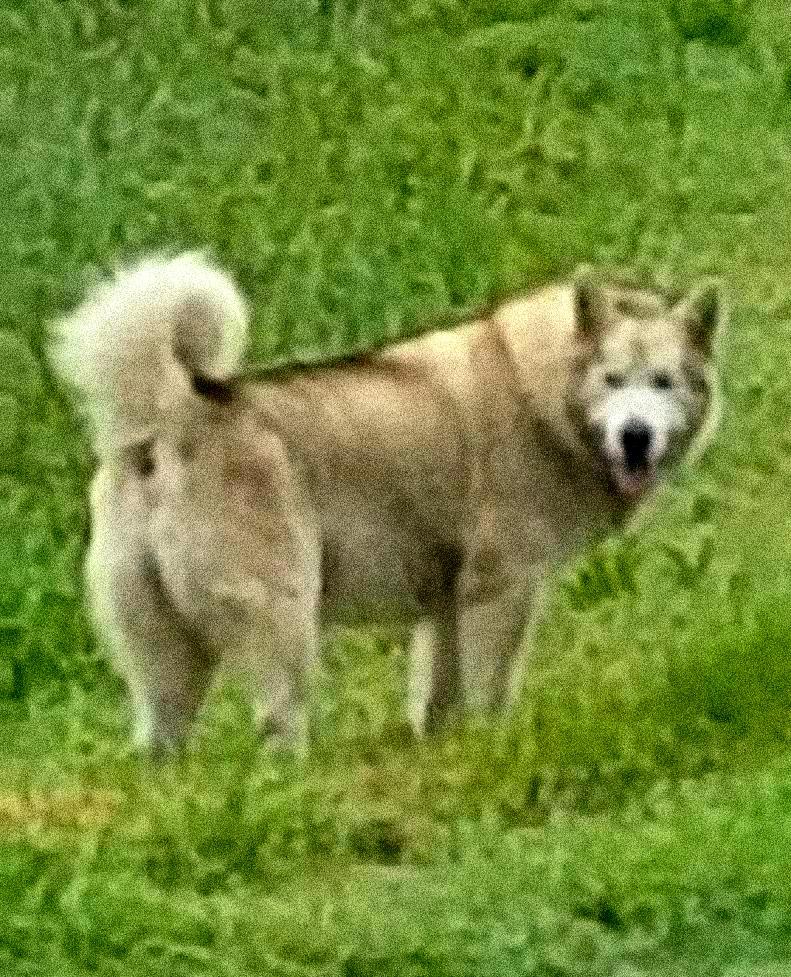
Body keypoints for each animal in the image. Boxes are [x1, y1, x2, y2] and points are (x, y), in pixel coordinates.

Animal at [48, 254, 724, 756]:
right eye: (612, 380)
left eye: (663, 382)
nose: (635, 435)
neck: (541, 394)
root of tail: (175, 413)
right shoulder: (500, 587)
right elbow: (490, 691)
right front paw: (494, 750)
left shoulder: (446, 601)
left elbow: (438, 698)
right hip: (283, 621)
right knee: (277, 728)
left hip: (164, 659)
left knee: (158, 743)